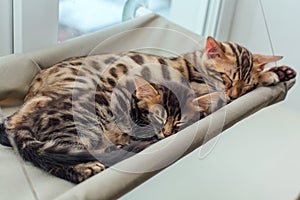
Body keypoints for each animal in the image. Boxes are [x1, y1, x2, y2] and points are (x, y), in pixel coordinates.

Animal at [0, 36, 296, 183]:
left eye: (246, 87)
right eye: (226, 77)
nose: (234, 94)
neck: (191, 64)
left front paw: (278, 72)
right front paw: (271, 74)